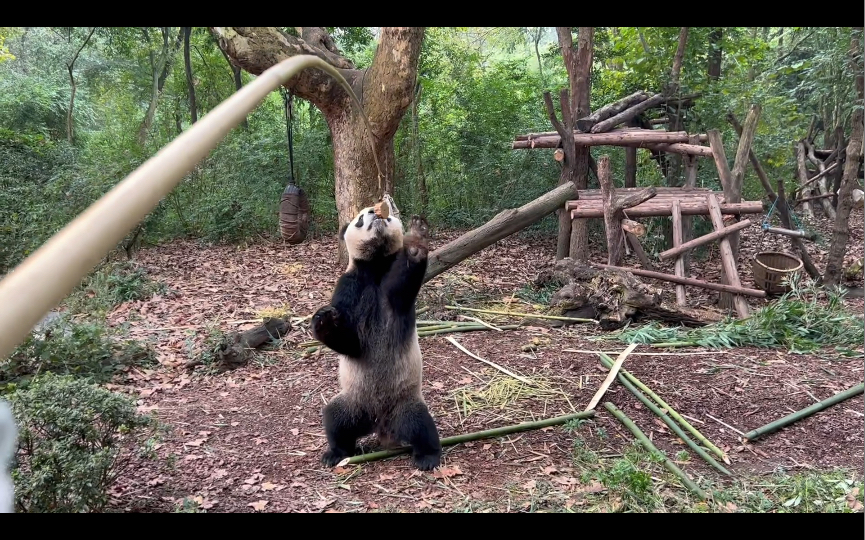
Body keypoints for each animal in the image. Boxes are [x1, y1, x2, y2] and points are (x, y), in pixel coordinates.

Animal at [310, 200, 442, 470]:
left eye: (389, 216)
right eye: (360, 218)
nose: (375, 213)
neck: (376, 265)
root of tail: (381, 424)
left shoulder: (394, 292)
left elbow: (401, 287)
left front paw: (416, 239)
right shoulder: (350, 284)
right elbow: (351, 343)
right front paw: (324, 320)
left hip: (406, 401)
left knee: (420, 425)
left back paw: (427, 457)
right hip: (353, 401)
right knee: (336, 420)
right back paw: (335, 453)